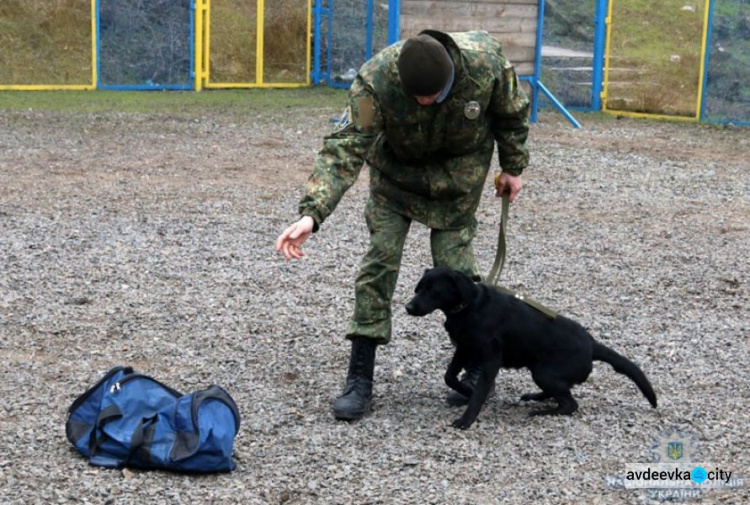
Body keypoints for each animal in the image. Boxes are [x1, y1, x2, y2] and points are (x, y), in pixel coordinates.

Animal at [406, 266, 656, 428]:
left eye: (434, 290)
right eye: (419, 288)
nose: (408, 307)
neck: (470, 306)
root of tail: (592, 344)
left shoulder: (491, 360)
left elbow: (479, 393)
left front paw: (466, 420)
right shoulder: (464, 348)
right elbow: (450, 377)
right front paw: (466, 392)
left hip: (544, 373)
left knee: (570, 404)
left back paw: (542, 411)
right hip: (542, 372)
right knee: (562, 394)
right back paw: (536, 397)